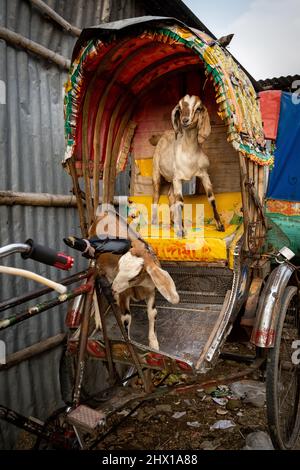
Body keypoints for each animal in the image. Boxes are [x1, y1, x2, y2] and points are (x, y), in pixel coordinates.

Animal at [152, 94, 225, 235]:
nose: (185, 120)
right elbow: (180, 202)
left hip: (172, 179)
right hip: (157, 172)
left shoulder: (203, 174)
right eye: (180, 108)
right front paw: (182, 231)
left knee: (170, 196)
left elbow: (211, 198)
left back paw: (173, 221)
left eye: (198, 108)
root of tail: (163, 135)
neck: (189, 153)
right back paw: (154, 223)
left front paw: (220, 226)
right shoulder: (178, 178)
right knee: (156, 196)